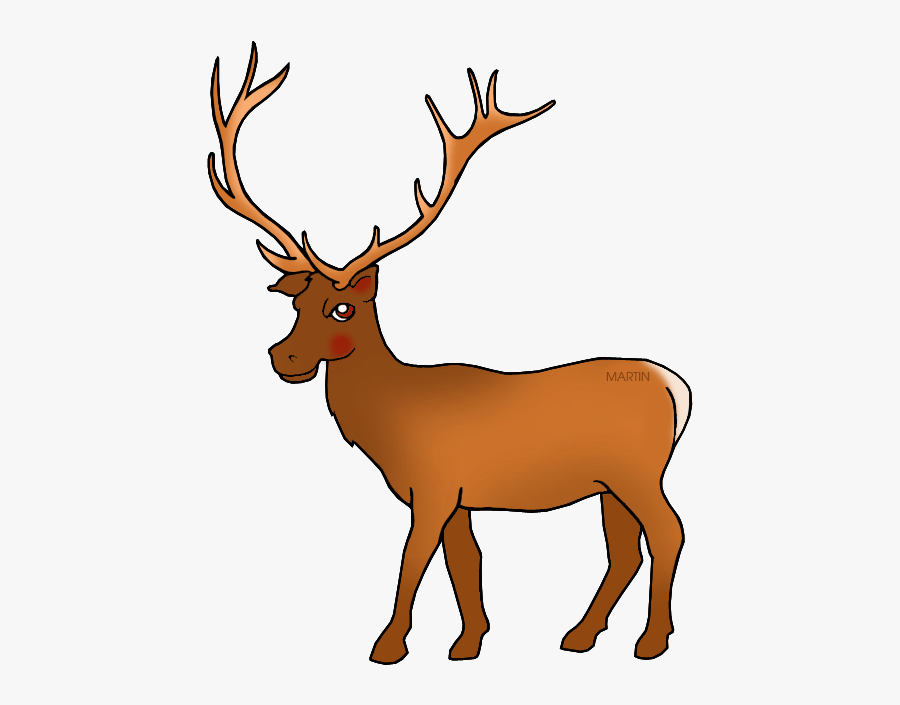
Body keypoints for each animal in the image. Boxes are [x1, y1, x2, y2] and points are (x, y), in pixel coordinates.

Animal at [208, 43, 692, 665]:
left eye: (343, 309)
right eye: (296, 301)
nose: (283, 358)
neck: (392, 422)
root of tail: (679, 389)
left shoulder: (434, 486)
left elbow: (413, 559)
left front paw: (388, 645)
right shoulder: (459, 498)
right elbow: (465, 560)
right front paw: (469, 641)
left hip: (639, 471)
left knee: (669, 531)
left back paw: (651, 640)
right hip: (609, 484)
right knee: (625, 548)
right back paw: (580, 635)